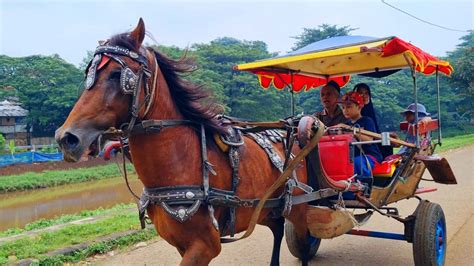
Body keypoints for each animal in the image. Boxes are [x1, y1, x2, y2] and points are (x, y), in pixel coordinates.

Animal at [55, 18, 312, 264]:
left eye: (117, 74)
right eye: (88, 75)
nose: (66, 138)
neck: (181, 162)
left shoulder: (205, 246)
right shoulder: (181, 244)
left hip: (299, 207)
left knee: (303, 239)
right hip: (266, 209)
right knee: (278, 228)